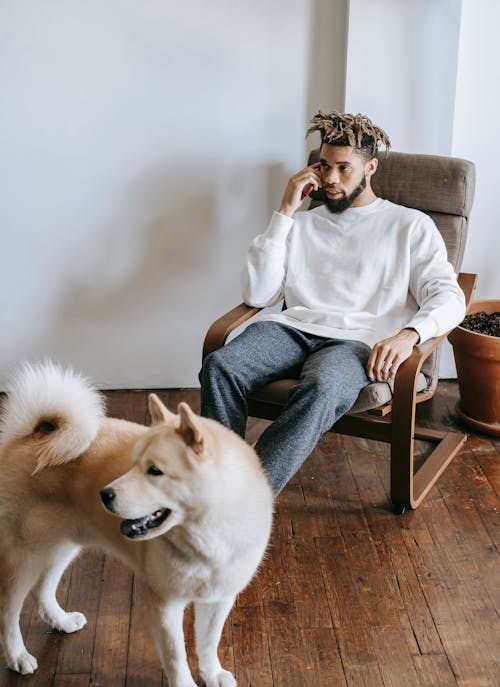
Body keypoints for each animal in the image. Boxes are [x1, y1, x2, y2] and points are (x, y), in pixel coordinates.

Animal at [0, 362, 274, 684]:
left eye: (154, 471)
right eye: (132, 465)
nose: (104, 494)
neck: (208, 537)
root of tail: (32, 436)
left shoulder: (219, 599)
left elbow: (209, 643)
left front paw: (212, 674)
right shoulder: (165, 604)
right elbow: (176, 657)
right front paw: (186, 683)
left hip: (62, 547)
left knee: (42, 590)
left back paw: (61, 620)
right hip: (25, 558)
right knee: (8, 613)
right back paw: (17, 656)